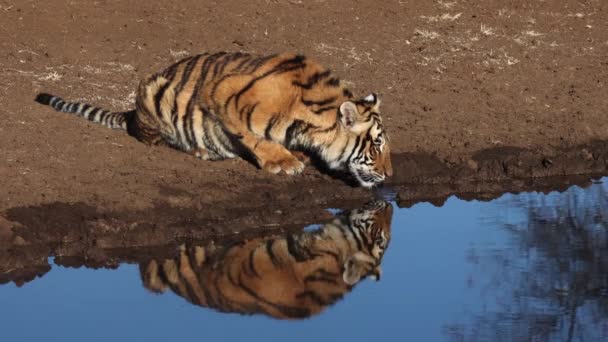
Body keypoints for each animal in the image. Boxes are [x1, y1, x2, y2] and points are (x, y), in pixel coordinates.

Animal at [34, 52, 394, 188]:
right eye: (376, 145)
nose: (390, 175)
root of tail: (132, 112)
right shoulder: (224, 93)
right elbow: (253, 136)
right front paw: (282, 162)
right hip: (153, 94)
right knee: (155, 138)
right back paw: (201, 150)